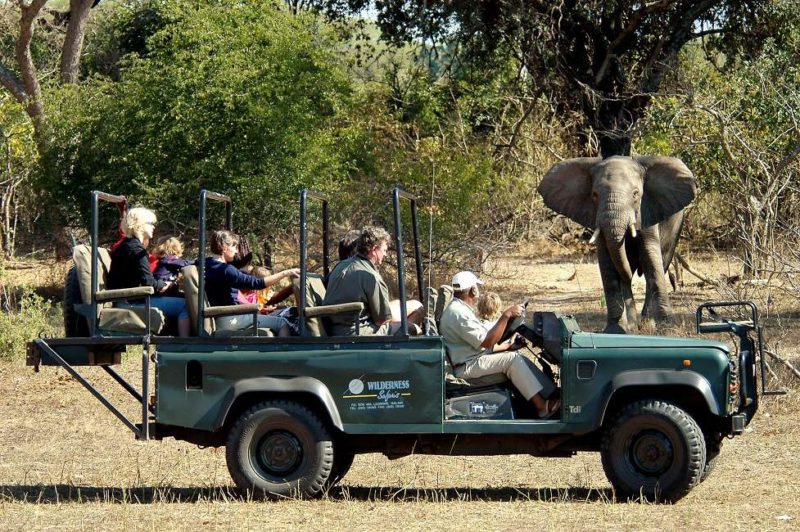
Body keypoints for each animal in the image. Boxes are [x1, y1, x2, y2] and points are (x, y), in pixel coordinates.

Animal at [540, 154, 696, 332]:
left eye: (636, 194)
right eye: (594, 194)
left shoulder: (646, 211)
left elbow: (650, 257)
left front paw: (665, 327)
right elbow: (608, 264)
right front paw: (616, 330)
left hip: (675, 229)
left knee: (660, 263)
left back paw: (646, 321)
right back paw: (633, 325)